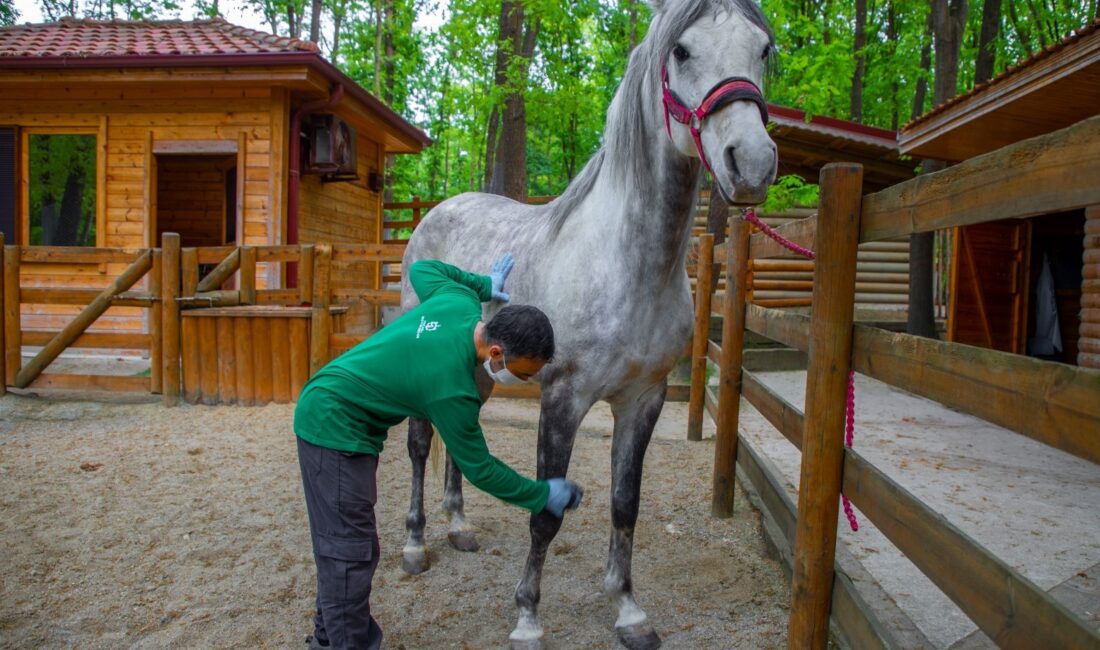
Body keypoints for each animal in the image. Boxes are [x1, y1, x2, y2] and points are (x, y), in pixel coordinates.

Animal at [402, 2, 774, 646]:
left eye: (764, 49)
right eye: (681, 51)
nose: (751, 162)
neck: (626, 264)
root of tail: (436, 213)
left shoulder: (644, 399)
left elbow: (626, 504)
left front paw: (627, 609)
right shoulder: (564, 398)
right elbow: (545, 516)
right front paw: (527, 617)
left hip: (475, 372)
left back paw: (458, 526)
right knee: (421, 443)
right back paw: (416, 544)